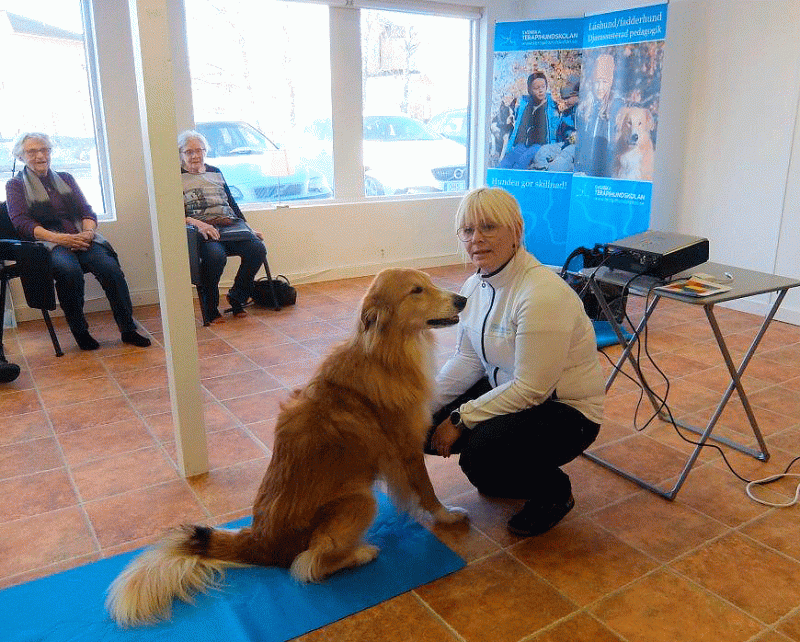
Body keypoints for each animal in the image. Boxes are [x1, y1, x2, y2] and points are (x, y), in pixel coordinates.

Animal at [106, 268, 468, 624]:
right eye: (417, 290)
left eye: (430, 282)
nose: (463, 300)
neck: (383, 353)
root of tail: (258, 542)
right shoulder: (408, 450)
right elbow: (427, 491)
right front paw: (447, 517)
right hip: (360, 500)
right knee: (308, 565)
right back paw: (362, 552)